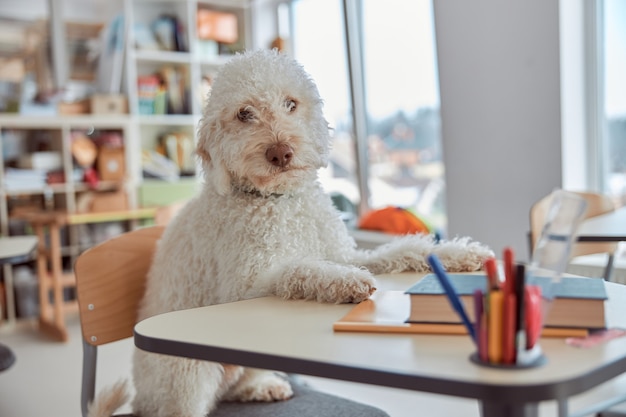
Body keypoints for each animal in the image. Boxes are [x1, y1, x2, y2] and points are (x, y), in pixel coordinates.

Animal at [89, 48, 492, 416]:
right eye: (244, 113)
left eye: (291, 104)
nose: (280, 152)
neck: (281, 202)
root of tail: (140, 402)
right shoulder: (246, 287)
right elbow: (301, 270)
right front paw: (346, 282)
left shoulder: (347, 253)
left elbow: (400, 251)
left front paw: (459, 254)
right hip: (185, 373)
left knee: (236, 385)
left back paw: (260, 386)